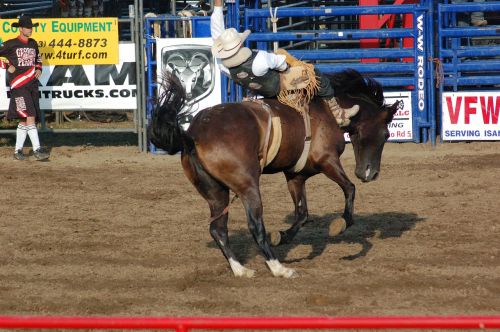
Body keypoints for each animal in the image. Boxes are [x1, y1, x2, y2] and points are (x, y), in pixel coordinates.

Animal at [148, 69, 398, 278]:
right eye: (386, 134)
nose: (370, 173)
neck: (327, 112)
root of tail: (193, 134)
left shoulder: (295, 176)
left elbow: (302, 213)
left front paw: (284, 236)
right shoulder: (327, 160)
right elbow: (349, 189)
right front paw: (342, 224)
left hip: (215, 193)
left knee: (218, 229)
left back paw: (241, 270)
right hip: (248, 186)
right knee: (255, 226)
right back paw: (279, 269)